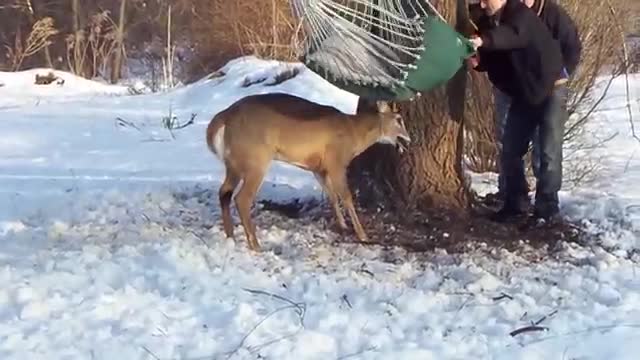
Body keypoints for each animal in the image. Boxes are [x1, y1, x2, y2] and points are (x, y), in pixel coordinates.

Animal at [205, 91, 410, 252]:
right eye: (399, 120)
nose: (408, 140)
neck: (354, 134)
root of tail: (222, 119)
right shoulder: (336, 161)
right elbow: (346, 196)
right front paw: (362, 234)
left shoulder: (318, 168)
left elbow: (332, 195)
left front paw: (343, 225)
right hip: (255, 159)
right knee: (242, 198)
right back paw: (255, 244)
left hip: (233, 163)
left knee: (224, 192)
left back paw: (230, 236)